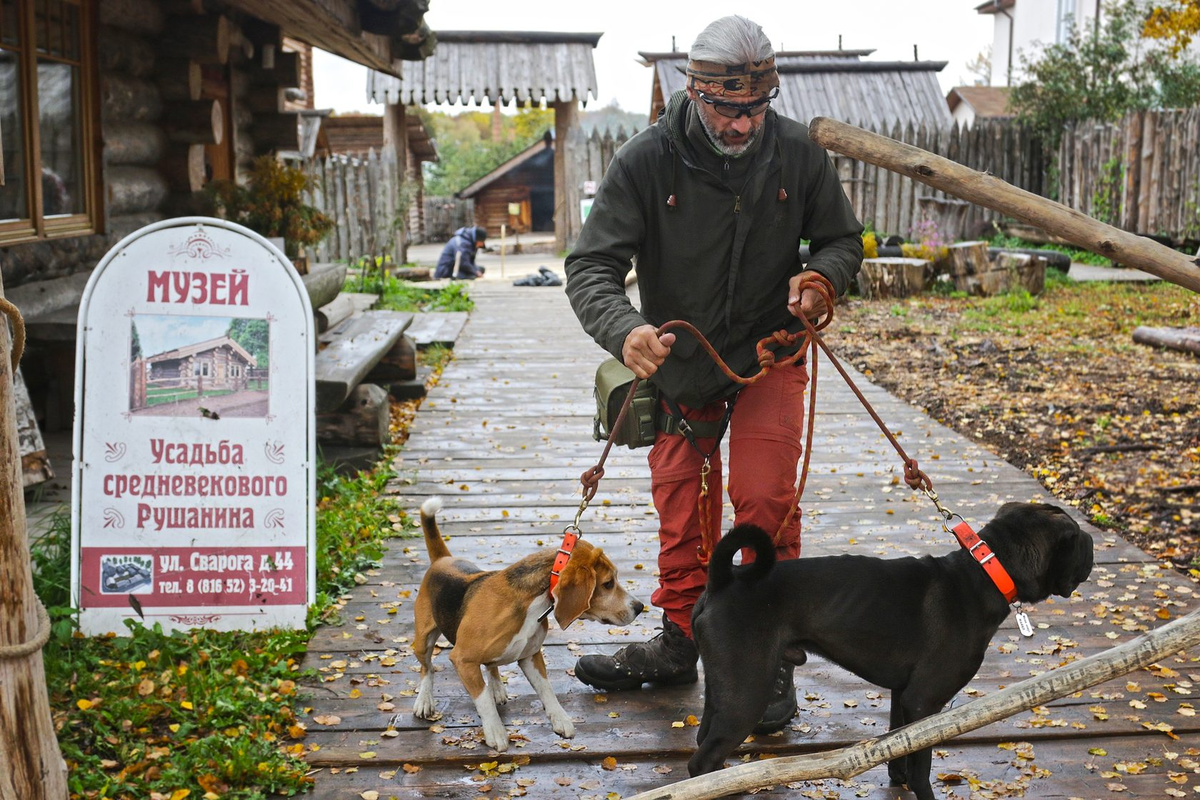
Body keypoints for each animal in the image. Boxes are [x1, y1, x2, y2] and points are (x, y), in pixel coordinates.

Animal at [691, 503, 1094, 796]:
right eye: (1079, 541)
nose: (1091, 543)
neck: (982, 574)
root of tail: (723, 581)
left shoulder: (903, 696)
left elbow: (899, 747)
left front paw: (897, 778)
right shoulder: (924, 701)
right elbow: (921, 767)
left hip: (723, 691)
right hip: (746, 695)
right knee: (701, 763)